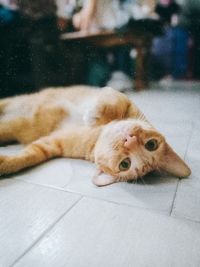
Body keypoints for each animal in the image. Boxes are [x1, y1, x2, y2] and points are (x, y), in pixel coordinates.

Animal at [0, 86, 191, 186]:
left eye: (125, 165)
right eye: (151, 144)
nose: (129, 141)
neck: (96, 134)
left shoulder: (49, 144)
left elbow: (27, 157)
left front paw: (5, 164)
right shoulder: (121, 98)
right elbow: (115, 104)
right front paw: (94, 114)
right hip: (10, 102)